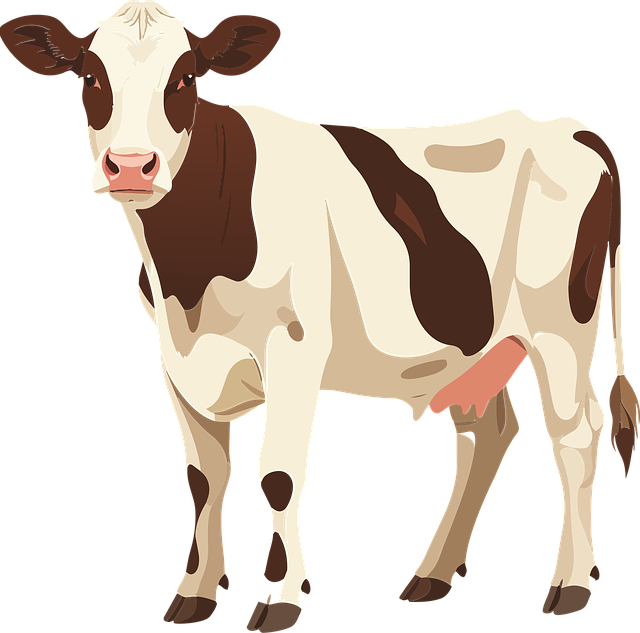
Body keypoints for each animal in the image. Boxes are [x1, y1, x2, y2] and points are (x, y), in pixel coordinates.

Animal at [2, 1, 639, 630]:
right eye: (90, 76)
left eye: (184, 77)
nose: (131, 165)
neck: (188, 273)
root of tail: (574, 127)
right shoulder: (178, 361)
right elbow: (201, 481)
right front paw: (194, 597)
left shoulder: (292, 350)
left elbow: (279, 477)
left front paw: (281, 603)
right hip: (475, 347)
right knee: (491, 433)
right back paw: (431, 576)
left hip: (560, 329)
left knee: (576, 437)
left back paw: (569, 589)